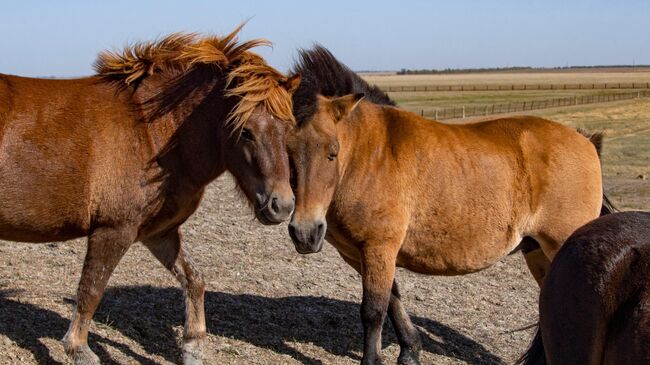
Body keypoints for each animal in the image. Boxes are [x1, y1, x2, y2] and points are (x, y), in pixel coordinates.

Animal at [0, 24, 298, 362]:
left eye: (289, 128)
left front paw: (193, 347)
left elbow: (194, 279)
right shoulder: (114, 230)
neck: (151, 133)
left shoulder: (158, 232)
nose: (282, 205)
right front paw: (78, 349)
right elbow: (90, 291)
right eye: (245, 131)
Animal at [284, 45, 608, 364]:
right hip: (538, 252)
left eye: (332, 152)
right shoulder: (359, 254)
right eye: (286, 150)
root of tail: (586, 142)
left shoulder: (378, 247)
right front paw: (410, 351)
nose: (305, 232)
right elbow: (393, 300)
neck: (368, 153)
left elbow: (373, 312)